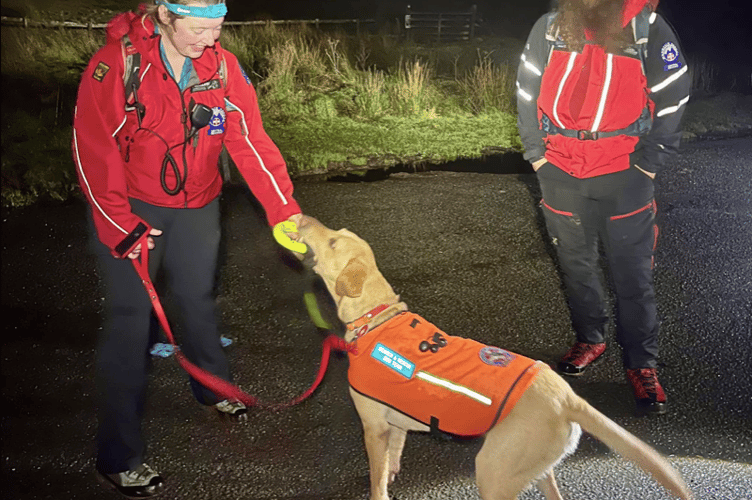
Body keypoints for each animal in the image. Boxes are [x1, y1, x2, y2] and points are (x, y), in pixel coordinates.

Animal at [296, 217, 692, 500]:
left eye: (333, 241)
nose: (300, 218)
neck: (376, 315)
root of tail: (567, 397)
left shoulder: (374, 428)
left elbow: (377, 483)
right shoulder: (393, 426)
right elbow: (393, 460)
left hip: (492, 470)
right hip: (534, 468)